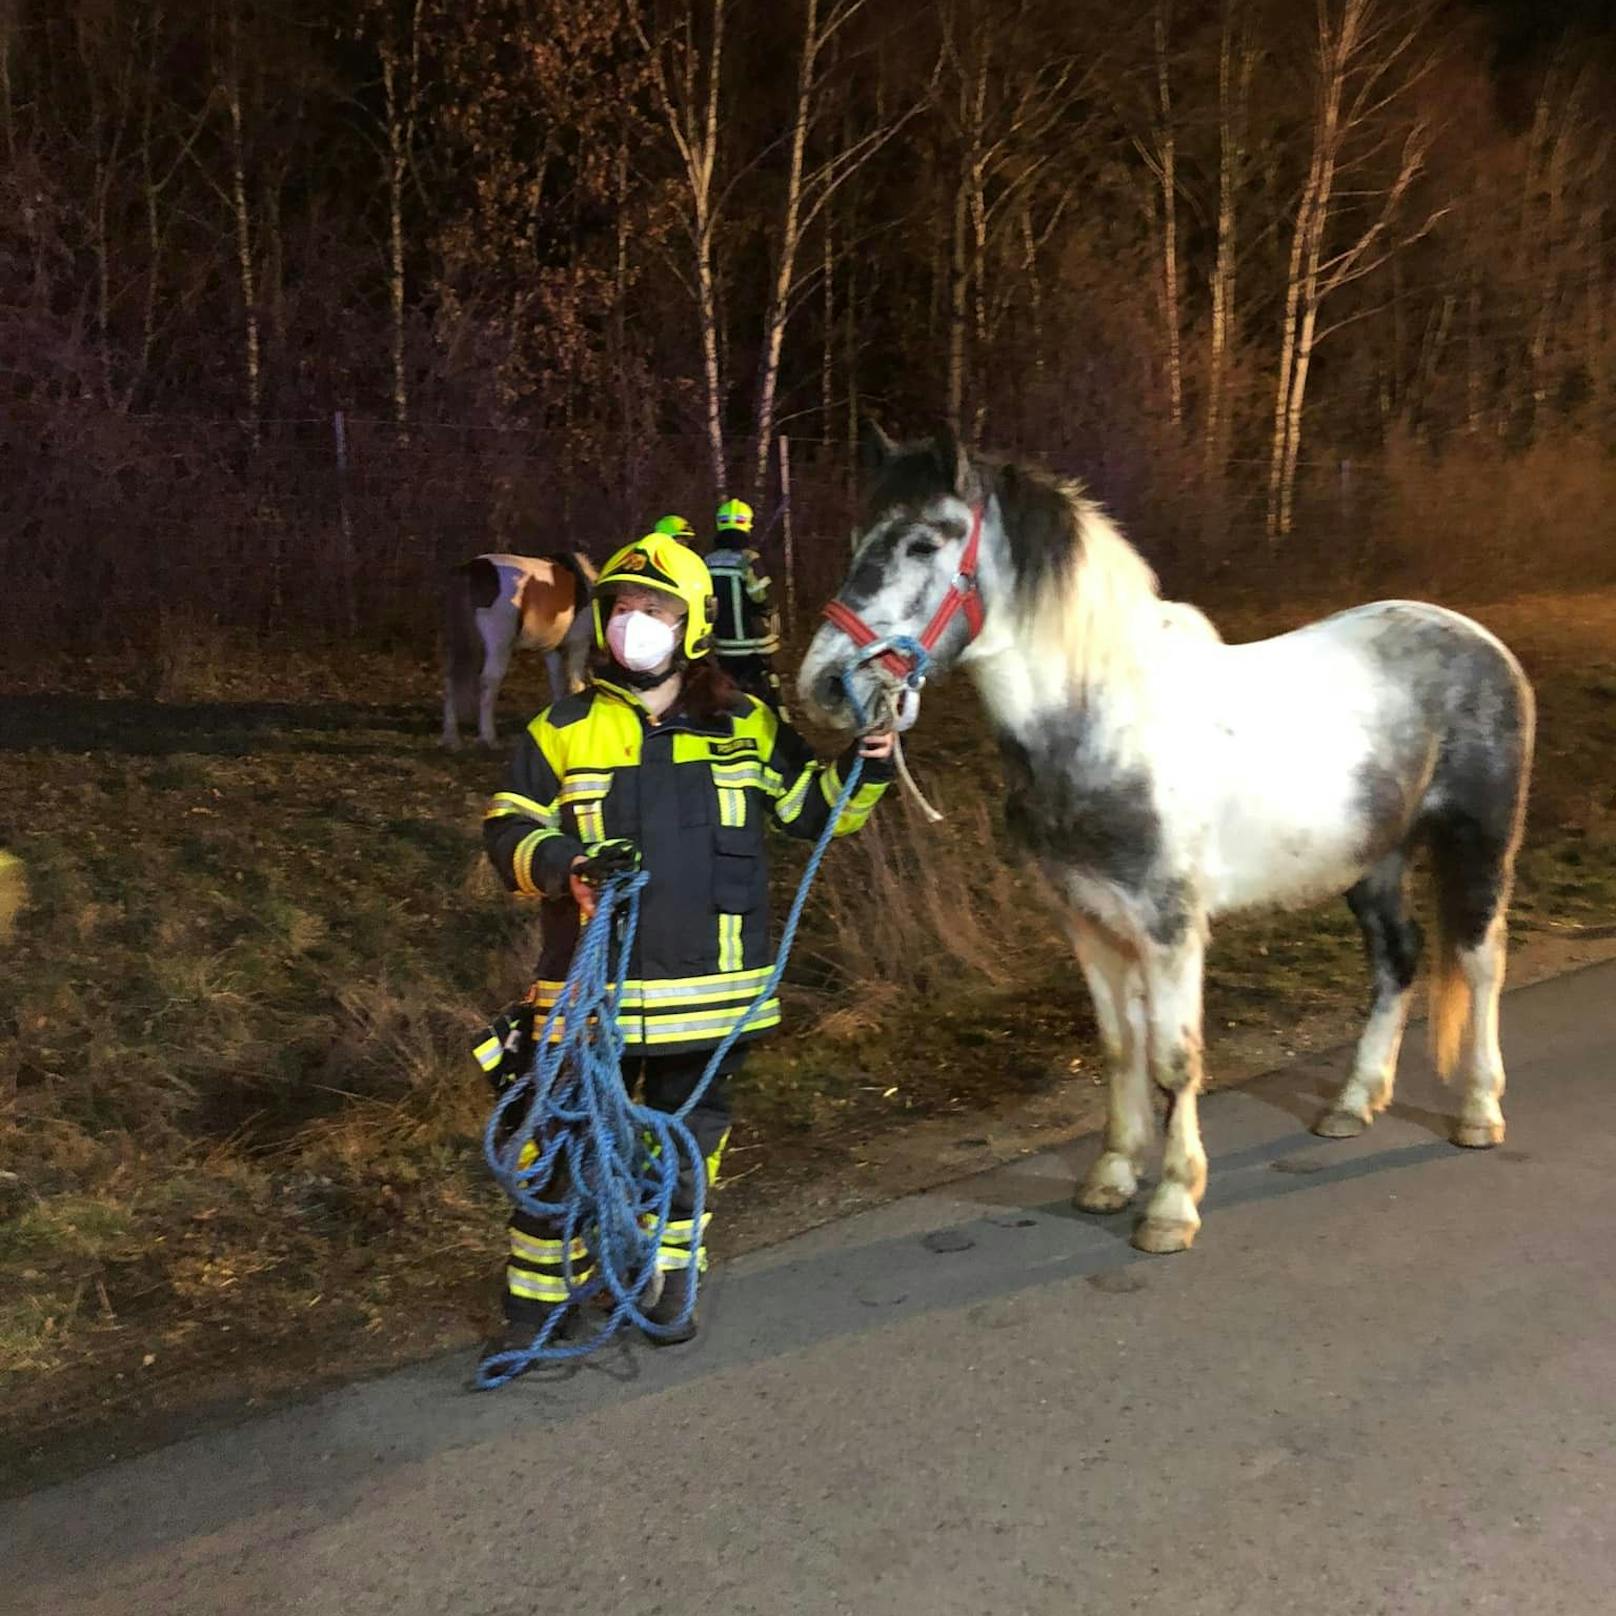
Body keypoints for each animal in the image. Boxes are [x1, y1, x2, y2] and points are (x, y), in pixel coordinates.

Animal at [439, 549, 597, 749]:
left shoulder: (551, 650)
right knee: (489, 682)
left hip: (458, 643)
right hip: (498, 646)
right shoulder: (579, 643)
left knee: (451, 679)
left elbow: (557, 684)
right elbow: (576, 684)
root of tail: (469, 569)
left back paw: (451, 737)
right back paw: (488, 737)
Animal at [801, 423, 1531, 1254]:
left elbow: (1177, 1059)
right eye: (859, 538)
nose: (823, 685)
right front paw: (1112, 1177)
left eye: (924, 542)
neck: (1108, 723)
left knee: (1480, 962)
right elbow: (1121, 1047)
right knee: (1398, 959)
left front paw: (1172, 1206)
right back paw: (1352, 1104)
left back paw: (1479, 1111)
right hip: (1373, 860)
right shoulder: (1086, 921)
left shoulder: (1170, 929)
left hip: (1481, 844)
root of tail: (1479, 639)